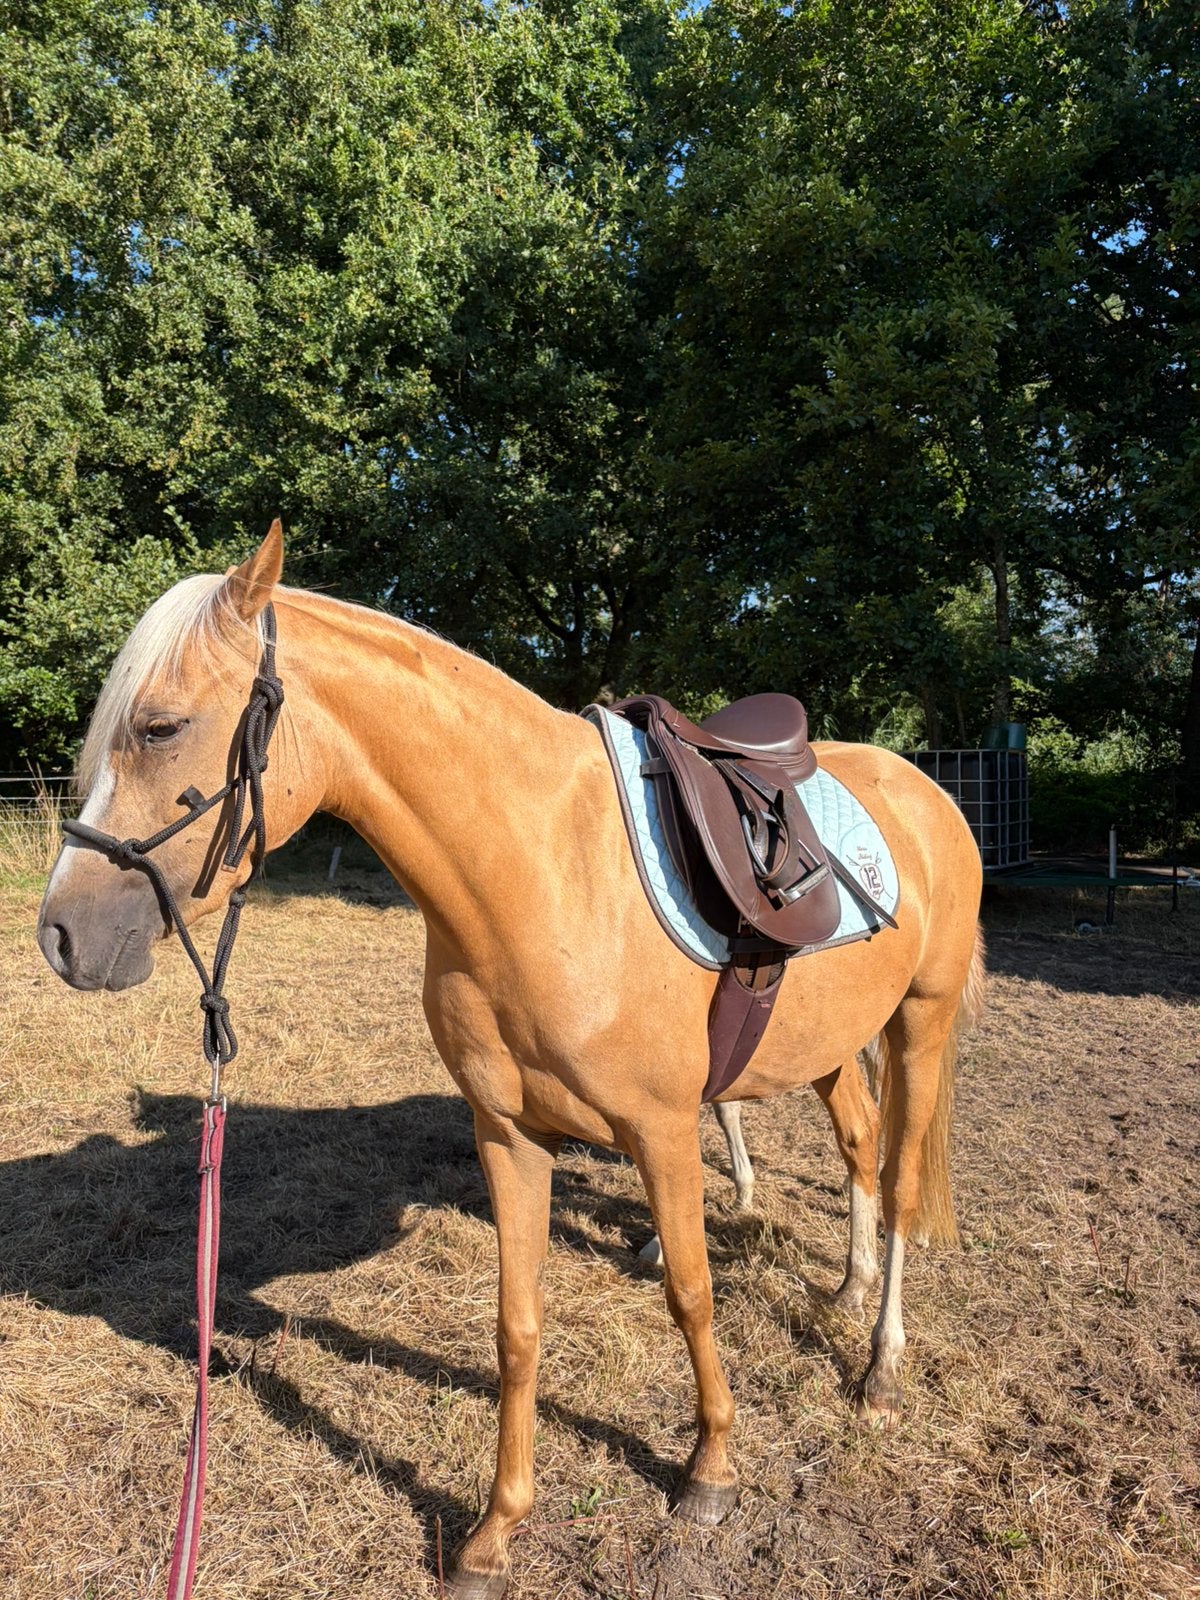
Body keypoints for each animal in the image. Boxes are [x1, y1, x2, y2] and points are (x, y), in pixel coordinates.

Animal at [37, 524, 984, 1599]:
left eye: (159, 727)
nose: (60, 935)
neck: (537, 870)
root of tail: (928, 789)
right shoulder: (509, 1131)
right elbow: (517, 1326)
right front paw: (495, 1533)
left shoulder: (664, 1131)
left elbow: (691, 1294)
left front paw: (710, 1469)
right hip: (830, 1045)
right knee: (861, 1150)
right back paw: (849, 1289)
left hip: (920, 1023)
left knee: (899, 1183)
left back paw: (879, 1367)